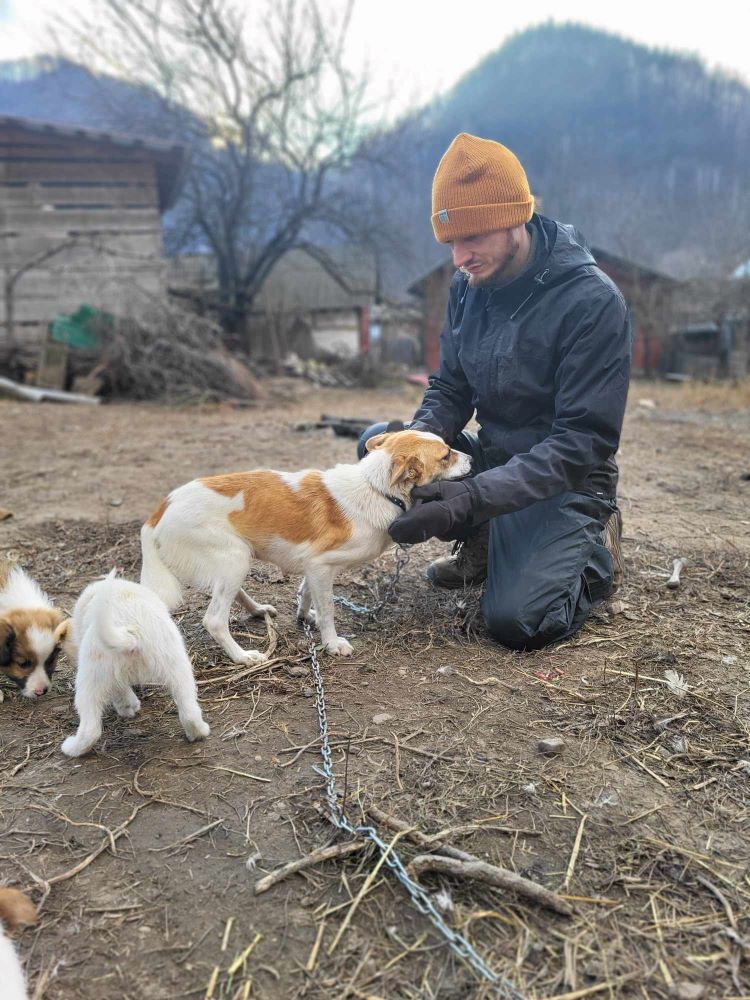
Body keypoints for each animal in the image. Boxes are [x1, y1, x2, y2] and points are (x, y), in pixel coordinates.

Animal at [141, 426, 470, 660]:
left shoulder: (314, 568)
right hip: (234, 559)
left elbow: (307, 595)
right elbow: (328, 610)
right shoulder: (320, 565)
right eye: (446, 455)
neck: (376, 489)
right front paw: (332, 643)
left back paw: (257, 610)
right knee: (214, 620)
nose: (472, 457)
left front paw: (304, 617)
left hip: (235, 561)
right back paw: (243, 656)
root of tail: (156, 515)